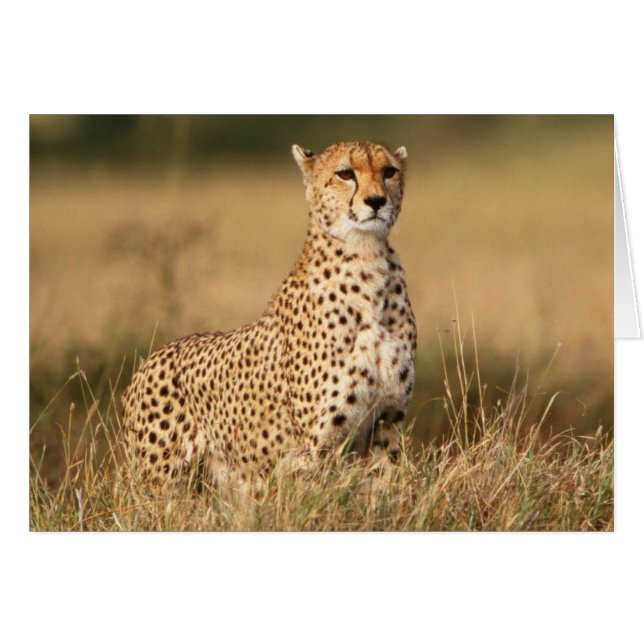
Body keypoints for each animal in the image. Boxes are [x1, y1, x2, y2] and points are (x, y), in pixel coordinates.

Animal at [121, 140, 417, 489]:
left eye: (389, 171)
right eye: (345, 174)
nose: (376, 201)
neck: (367, 258)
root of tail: (151, 358)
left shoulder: (387, 424)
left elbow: (386, 490)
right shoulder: (318, 445)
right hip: (161, 479)